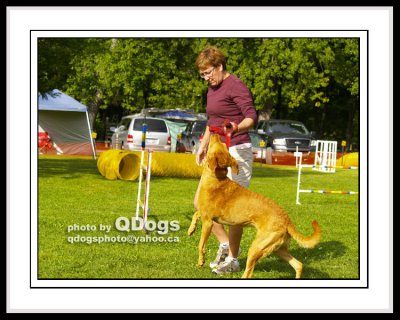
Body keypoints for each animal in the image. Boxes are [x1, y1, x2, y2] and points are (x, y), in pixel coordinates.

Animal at [188, 134, 322, 278]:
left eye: (220, 143)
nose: (215, 134)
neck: (216, 178)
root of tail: (286, 219)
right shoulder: (205, 214)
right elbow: (195, 214)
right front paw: (191, 229)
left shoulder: (208, 222)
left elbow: (201, 245)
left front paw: (201, 261)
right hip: (277, 249)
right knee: (299, 265)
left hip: (256, 248)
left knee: (249, 274)